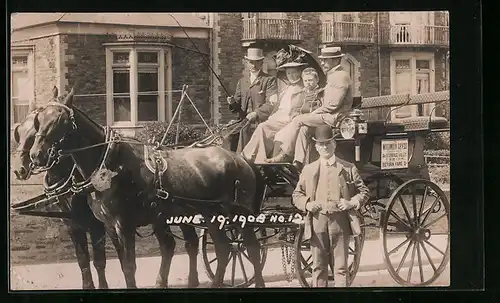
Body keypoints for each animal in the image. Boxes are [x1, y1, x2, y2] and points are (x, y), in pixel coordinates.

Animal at [28, 88, 266, 290]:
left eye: (59, 119)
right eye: (39, 120)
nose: (36, 154)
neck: (110, 163)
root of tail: (241, 159)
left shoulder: (123, 224)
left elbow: (129, 267)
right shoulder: (108, 226)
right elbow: (117, 263)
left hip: (238, 214)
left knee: (251, 249)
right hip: (210, 215)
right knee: (223, 248)